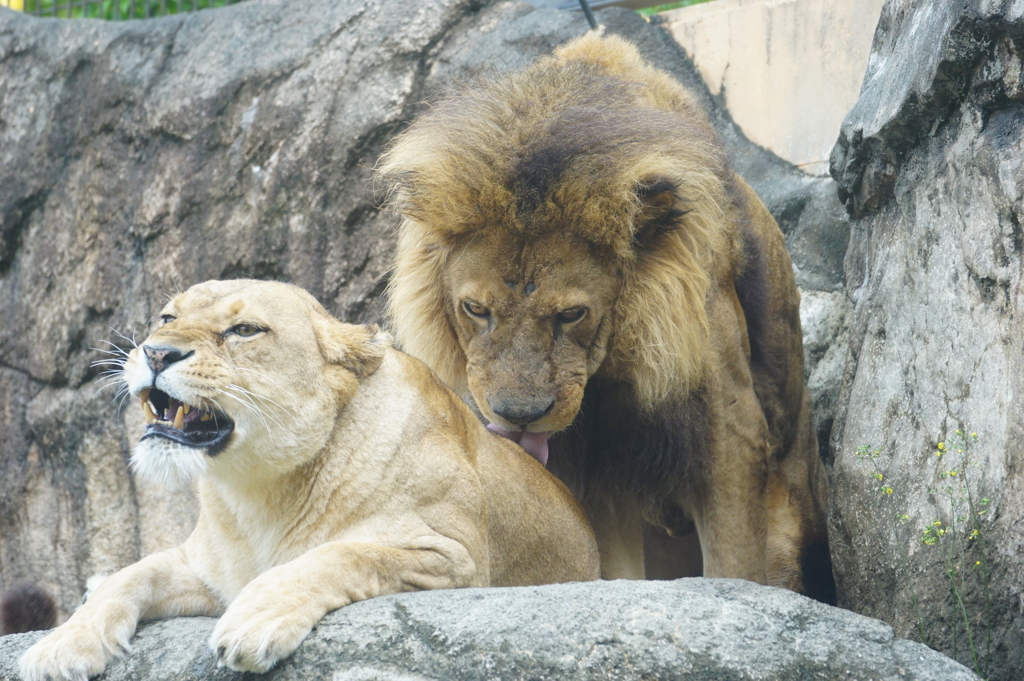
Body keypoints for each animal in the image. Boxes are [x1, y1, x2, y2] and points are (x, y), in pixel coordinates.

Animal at [18, 278, 598, 675]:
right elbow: (130, 574)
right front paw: (59, 646)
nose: (156, 352)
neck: (260, 493)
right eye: (165, 317)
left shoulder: (456, 555)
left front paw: (255, 619)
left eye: (244, 330)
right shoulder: (207, 570)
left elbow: (342, 554)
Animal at [376, 34, 831, 598]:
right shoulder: (594, 471)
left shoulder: (729, 428)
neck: (608, 378)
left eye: (572, 313)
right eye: (476, 309)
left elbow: (736, 566)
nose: (518, 414)